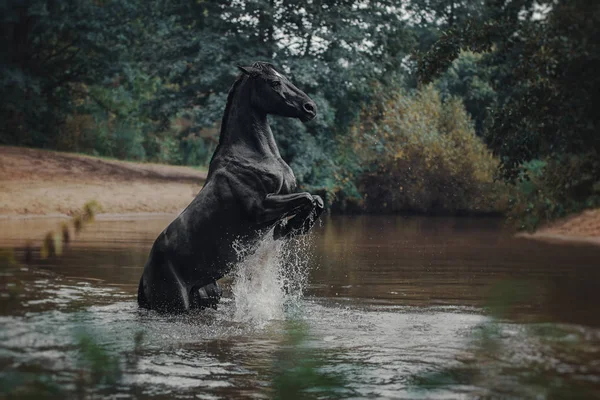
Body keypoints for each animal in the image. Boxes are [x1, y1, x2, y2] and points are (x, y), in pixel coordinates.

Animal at [137, 61, 324, 312]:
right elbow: (306, 197)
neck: (254, 154)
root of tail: (144, 277)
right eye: (274, 82)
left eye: (285, 78)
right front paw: (293, 226)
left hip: (208, 296)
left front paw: (292, 228)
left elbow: (316, 200)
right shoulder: (261, 209)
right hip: (174, 303)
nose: (310, 108)